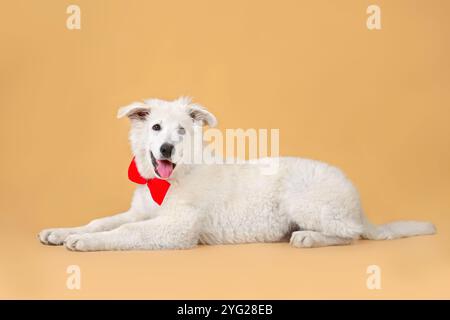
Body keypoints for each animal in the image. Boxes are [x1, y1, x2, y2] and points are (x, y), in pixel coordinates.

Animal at [39, 96, 436, 251]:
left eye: (181, 131)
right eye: (155, 128)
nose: (167, 149)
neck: (169, 180)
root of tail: (358, 201)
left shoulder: (177, 228)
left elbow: (126, 232)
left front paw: (85, 242)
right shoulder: (141, 211)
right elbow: (102, 221)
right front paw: (63, 231)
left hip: (305, 199)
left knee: (349, 234)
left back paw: (309, 237)